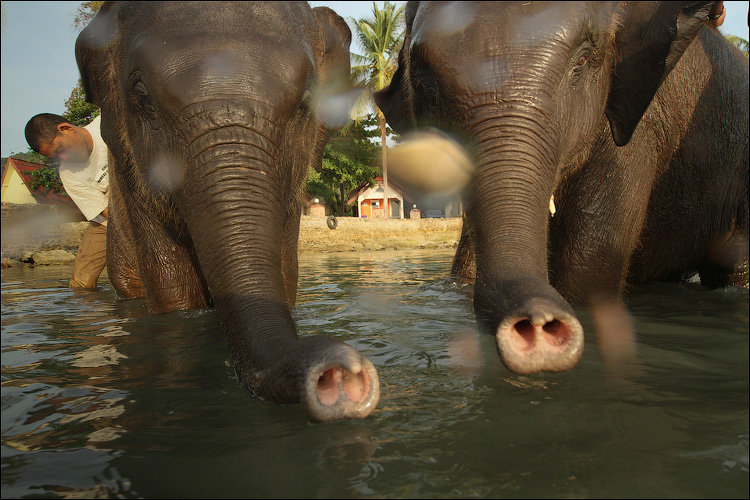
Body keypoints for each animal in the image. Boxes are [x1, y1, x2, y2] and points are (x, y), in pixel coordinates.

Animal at [378, 0, 748, 376]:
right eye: (422, 81)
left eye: (583, 60)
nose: (538, 324)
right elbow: (464, 271)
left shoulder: (638, 130)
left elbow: (585, 275)